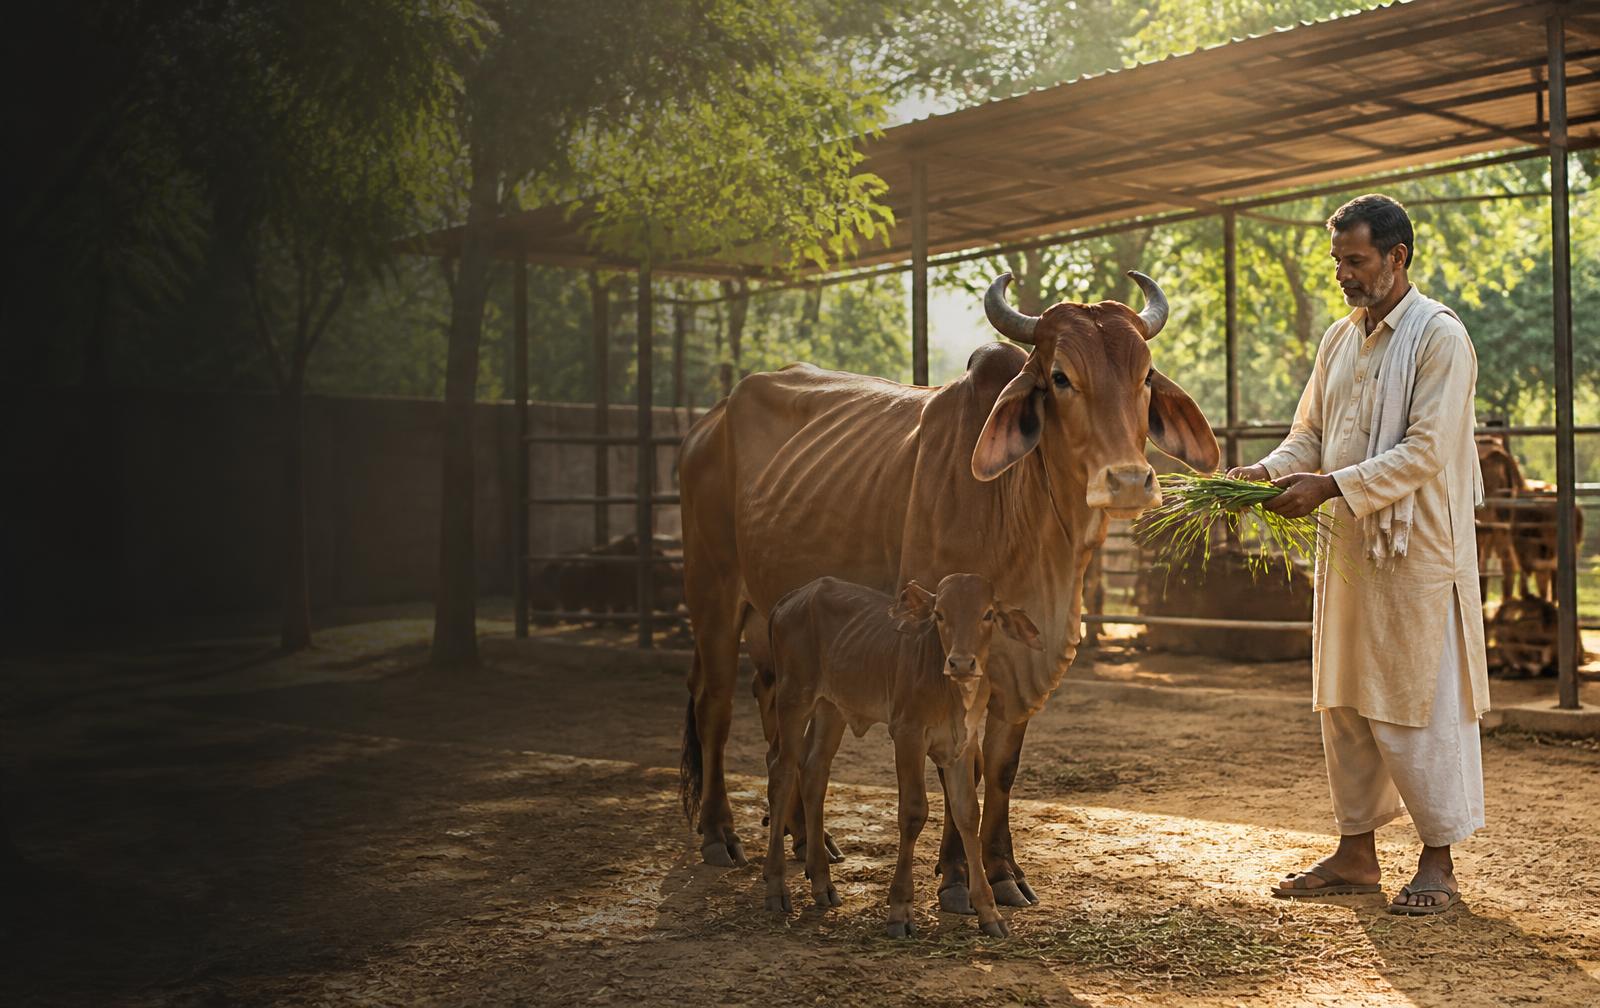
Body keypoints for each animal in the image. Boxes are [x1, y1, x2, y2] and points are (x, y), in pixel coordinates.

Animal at [762, 573, 1042, 939]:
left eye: (988, 615)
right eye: (939, 615)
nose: (961, 663)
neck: (948, 689)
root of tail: (790, 599)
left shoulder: (962, 745)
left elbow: (968, 814)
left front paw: (989, 912)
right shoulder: (907, 736)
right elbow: (912, 812)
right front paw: (900, 910)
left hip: (831, 707)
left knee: (814, 774)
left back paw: (823, 884)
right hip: (794, 698)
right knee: (781, 773)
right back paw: (776, 887)